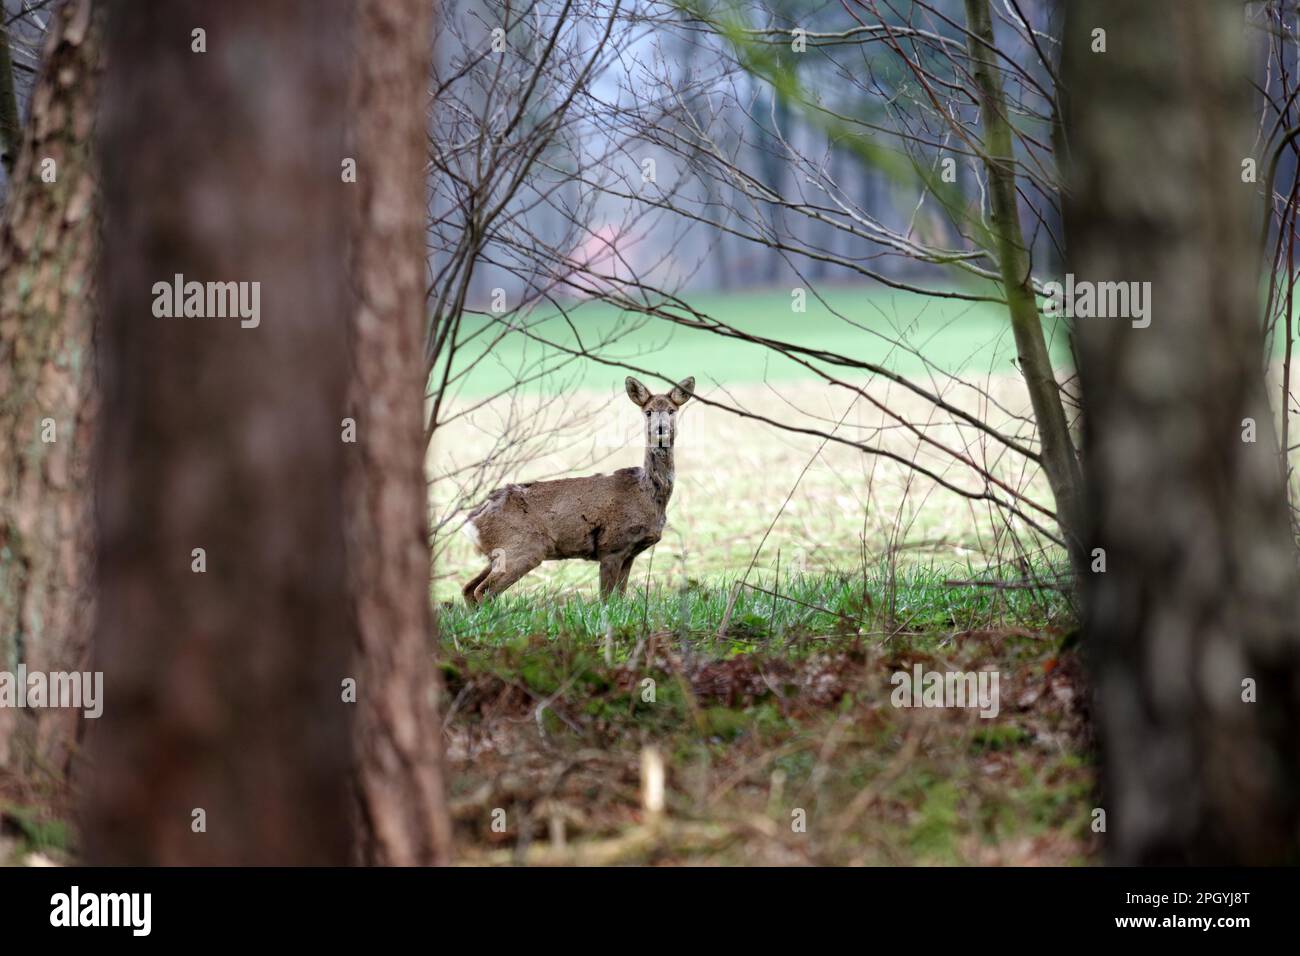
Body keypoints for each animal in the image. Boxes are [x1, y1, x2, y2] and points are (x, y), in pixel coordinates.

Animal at [462, 374, 696, 606]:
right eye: (648, 412)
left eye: (672, 410)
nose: (660, 429)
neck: (647, 494)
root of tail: (473, 520)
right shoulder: (611, 546)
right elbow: (606, 600)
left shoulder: (630, 553)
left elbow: (620, 598)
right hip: (522, 548)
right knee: (483, 591)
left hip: (500, 553)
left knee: (468, 588)